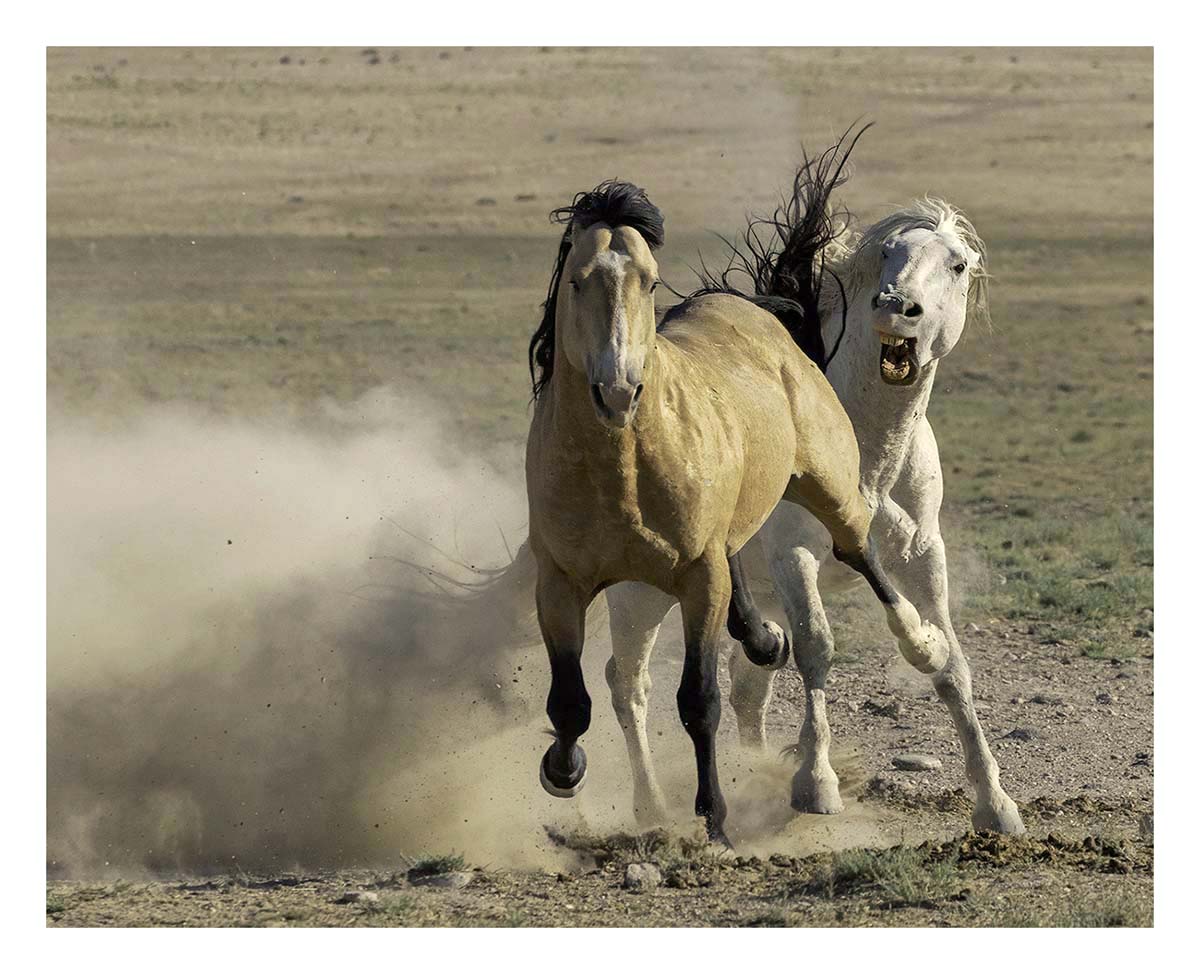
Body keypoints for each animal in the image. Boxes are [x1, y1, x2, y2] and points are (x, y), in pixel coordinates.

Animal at [524, 179, 951, 844]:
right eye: (575, 280)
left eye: (650, 281)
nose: (619, 388)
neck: (619, 467)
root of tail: (752, 312)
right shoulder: (560, 581)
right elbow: (571, 699)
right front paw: (562, 771)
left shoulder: (701, 578)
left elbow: (699, 699)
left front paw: (718, 823)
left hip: (827, 489)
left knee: (858, 549)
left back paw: (917, 641)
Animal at [604, 135, 1025, 835]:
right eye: (887, 253)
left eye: (958, 264)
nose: (897, 308)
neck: (868, 452)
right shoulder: (794, 553)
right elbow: (818, 650)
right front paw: (815, 783)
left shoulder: (922, 556)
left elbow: (952, 665)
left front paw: (996, 803)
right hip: (643, 591)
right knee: (627, 680)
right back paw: (651, 807)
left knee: (746, 685)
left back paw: (750, 775)